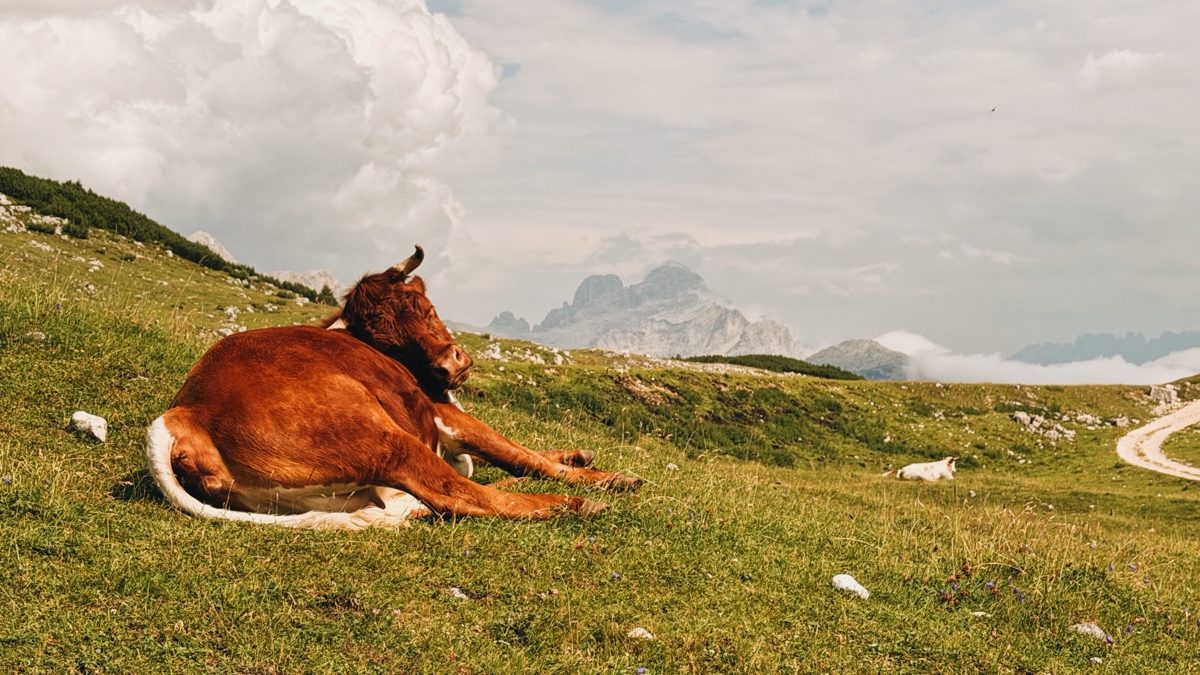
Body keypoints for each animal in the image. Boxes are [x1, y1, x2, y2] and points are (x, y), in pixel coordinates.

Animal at [145, 246, 642, 529]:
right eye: (387, 340)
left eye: (424, 306)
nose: (450, 366)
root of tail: (183, 413)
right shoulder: (443, 412)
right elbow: (516, 454)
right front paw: (604, 477)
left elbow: (518, 452)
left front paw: (576, 455)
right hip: (381, 438)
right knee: (464, 494)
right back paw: (576, 504)